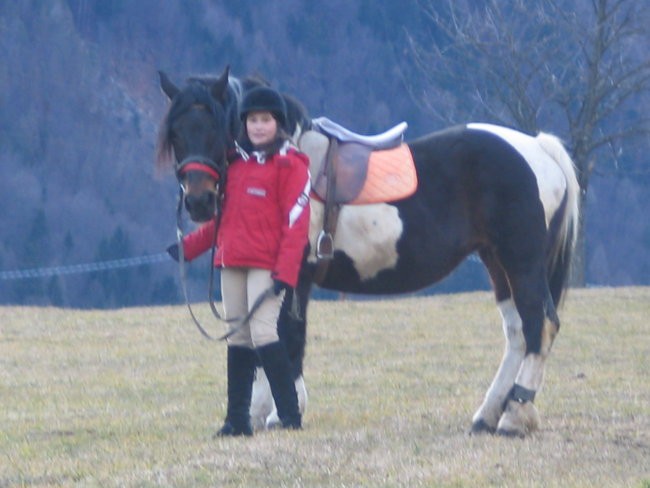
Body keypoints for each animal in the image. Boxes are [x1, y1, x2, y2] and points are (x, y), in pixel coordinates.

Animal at [156, 66, 576, 438]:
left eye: (214, 128)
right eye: (175, 133)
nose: (198, 202)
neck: (286, 160)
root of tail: (538, 147)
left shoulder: (294, 275)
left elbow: (284, 334)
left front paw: (280, 411)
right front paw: (266, 410)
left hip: (521, 261)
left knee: (540, 325)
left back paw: (515, 418)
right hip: (496, 262)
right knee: (518, 332)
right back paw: (488, 415)